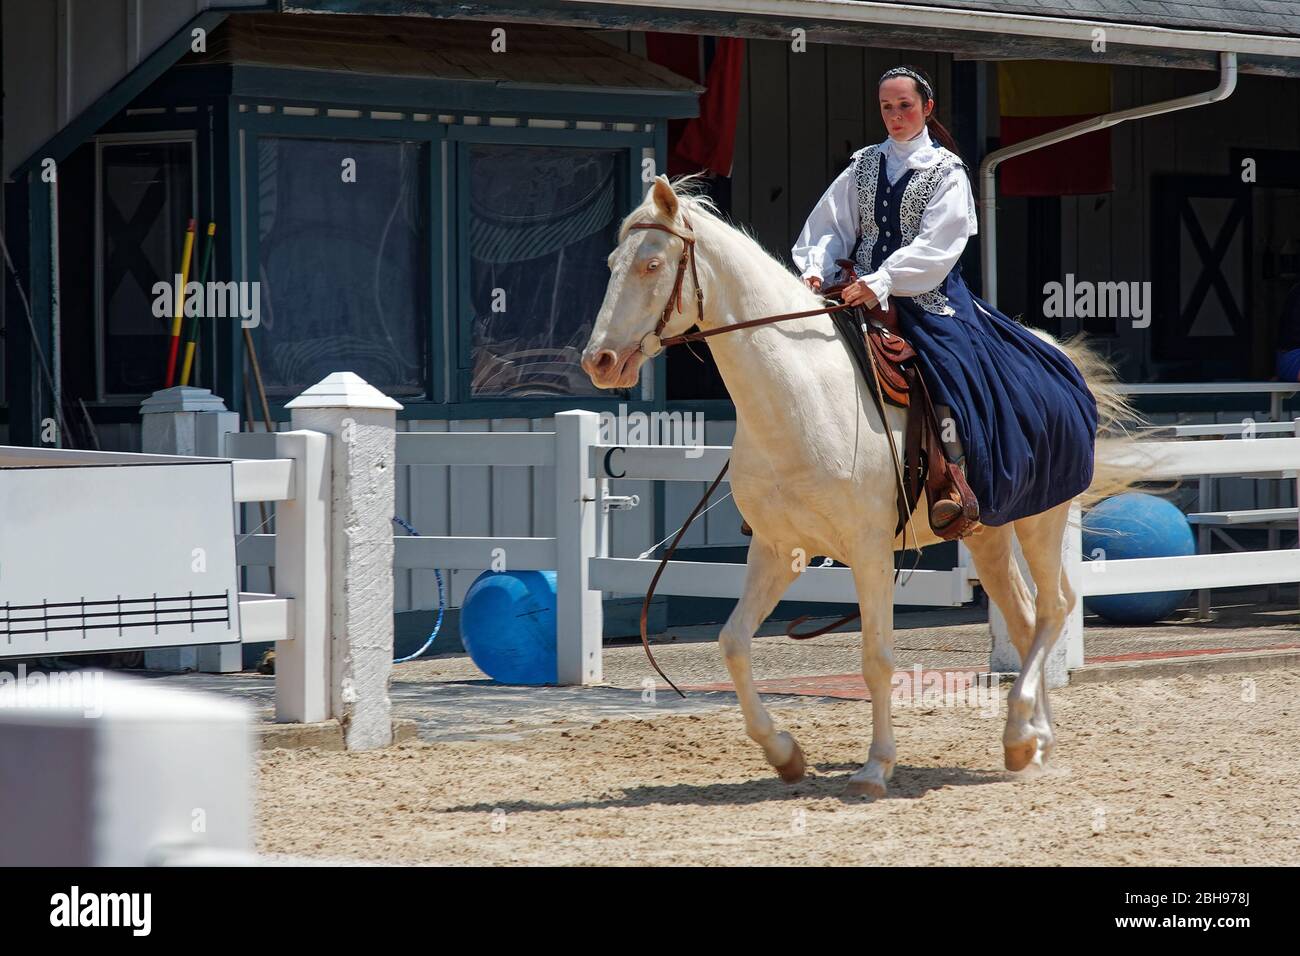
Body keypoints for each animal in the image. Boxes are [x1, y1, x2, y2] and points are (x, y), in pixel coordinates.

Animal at [581, 175, 1141, 797]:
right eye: (612, 263)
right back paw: (1032, 742)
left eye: (652, 264)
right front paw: (784, 753)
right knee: (1022, 619)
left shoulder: (870, 550)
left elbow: (877, 658)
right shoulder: (779, 548)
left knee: (1054, 608)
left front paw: (876, 767)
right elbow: (733, 643)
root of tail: (1056, 353)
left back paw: (1023, 733)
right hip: (987, 531)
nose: (599, 360)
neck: (800, 393)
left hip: (1041, 519)